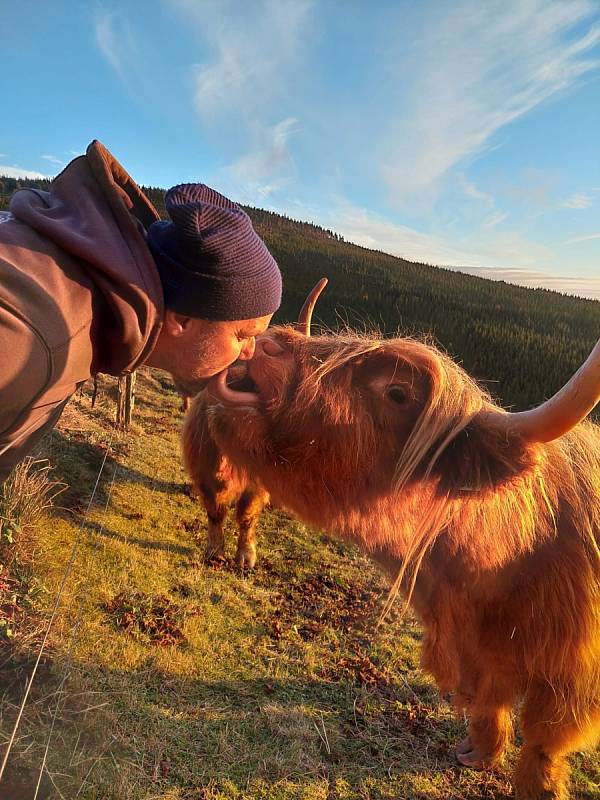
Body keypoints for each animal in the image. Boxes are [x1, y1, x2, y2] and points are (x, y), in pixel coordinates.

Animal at [203, 284, 600, 796]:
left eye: (397, 393)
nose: (268, 343)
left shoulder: (573, 678)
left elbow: (543, 743)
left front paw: (536, 784)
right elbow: (488, 704)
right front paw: (478, 752)